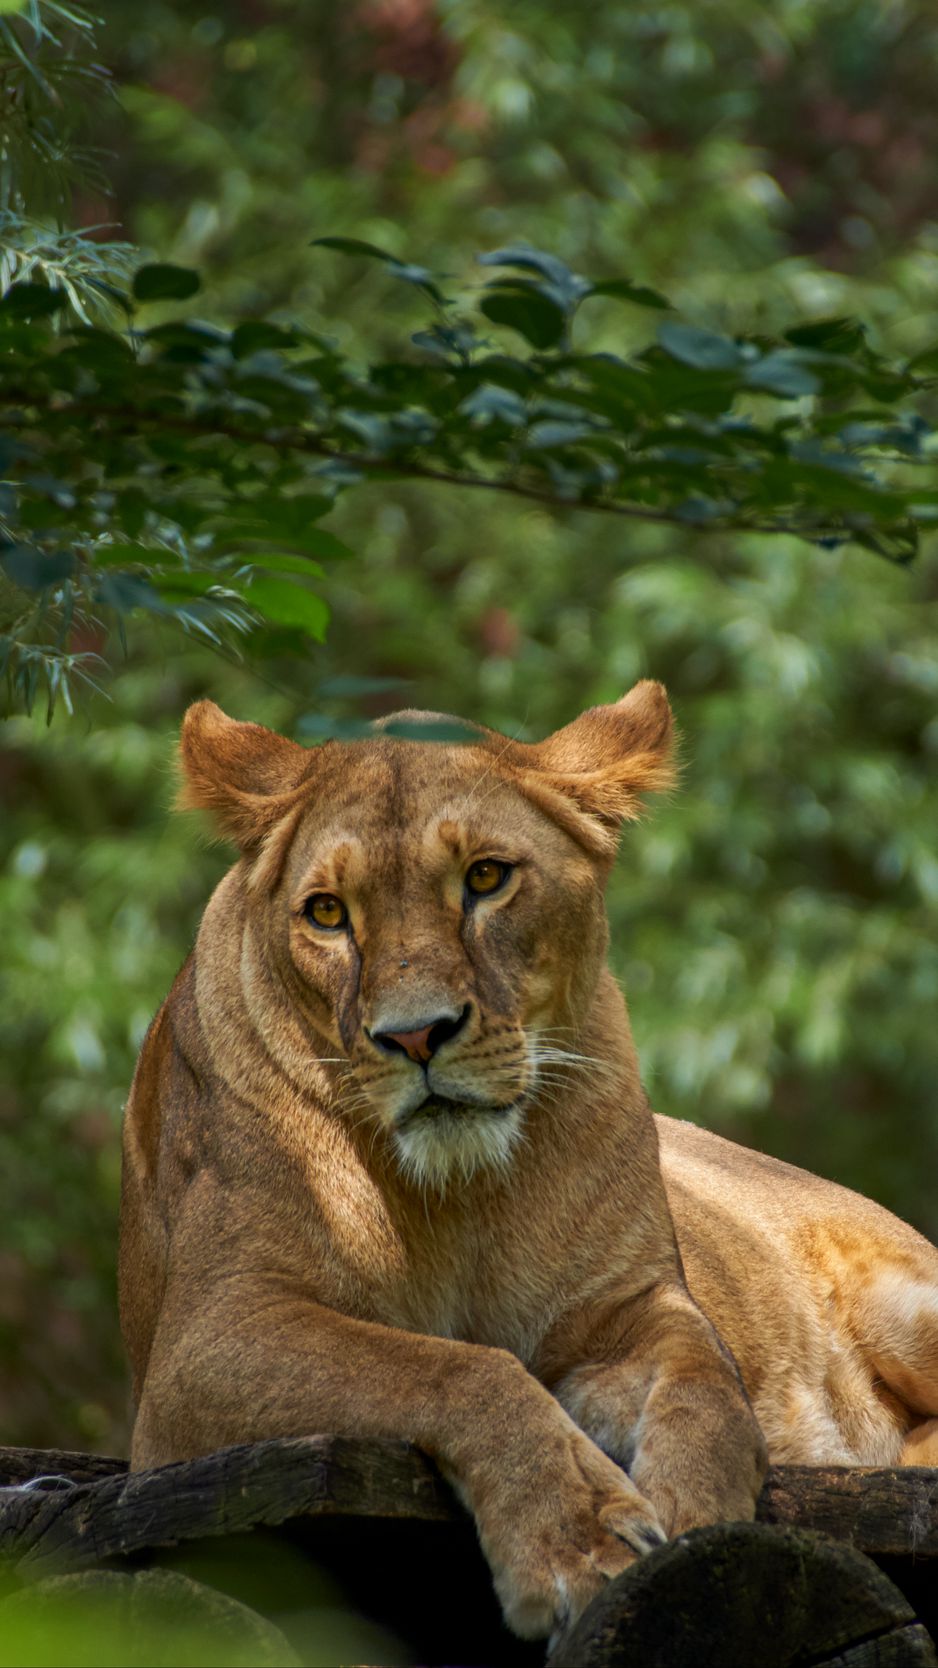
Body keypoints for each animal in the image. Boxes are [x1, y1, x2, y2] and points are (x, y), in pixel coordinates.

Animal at [119, 683, 938, 1642]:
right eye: (326, 912)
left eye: (485, 877)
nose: (415, 1035)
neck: (461, 1198)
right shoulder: (204, 1346)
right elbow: (453, 1366)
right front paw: (578, 1542)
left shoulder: (628, 1307)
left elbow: (708, 1392)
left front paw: (699, 1529)